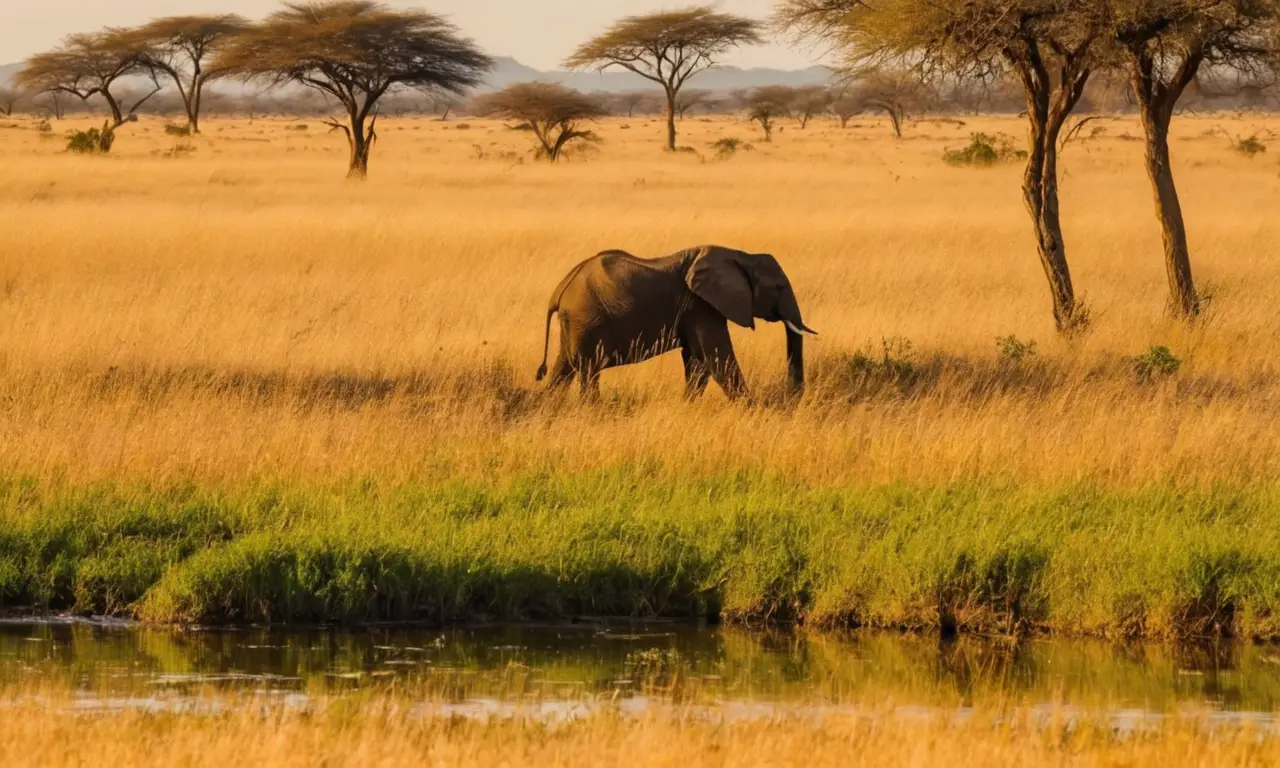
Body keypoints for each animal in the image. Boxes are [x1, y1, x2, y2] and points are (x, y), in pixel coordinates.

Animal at [535, 245, 817, 399]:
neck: (742, 255)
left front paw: (688, 404)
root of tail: (559, 290)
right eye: (779, 287)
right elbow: (717, 358)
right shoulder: (702, 305)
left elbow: (698, 361)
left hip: (576, 323)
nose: (794, 397)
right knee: (588, 370)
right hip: (588, 321)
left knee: (564, 367)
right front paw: (752, 409)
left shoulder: (695, 309)